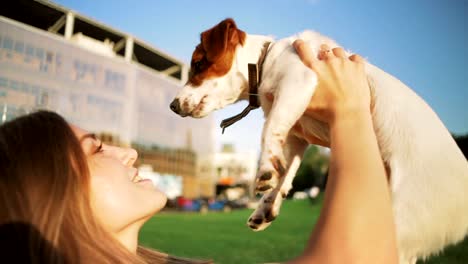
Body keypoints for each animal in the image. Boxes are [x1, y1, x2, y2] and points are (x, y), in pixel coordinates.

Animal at [170, 17, 468, 262]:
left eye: (198, 64)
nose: (172, 106)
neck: (266, 61)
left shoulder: (298, 82)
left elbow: (268, 131)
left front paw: (265, 170)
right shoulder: (296, 135)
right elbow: (286, 171)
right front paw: (267, 204)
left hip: (397, 225)